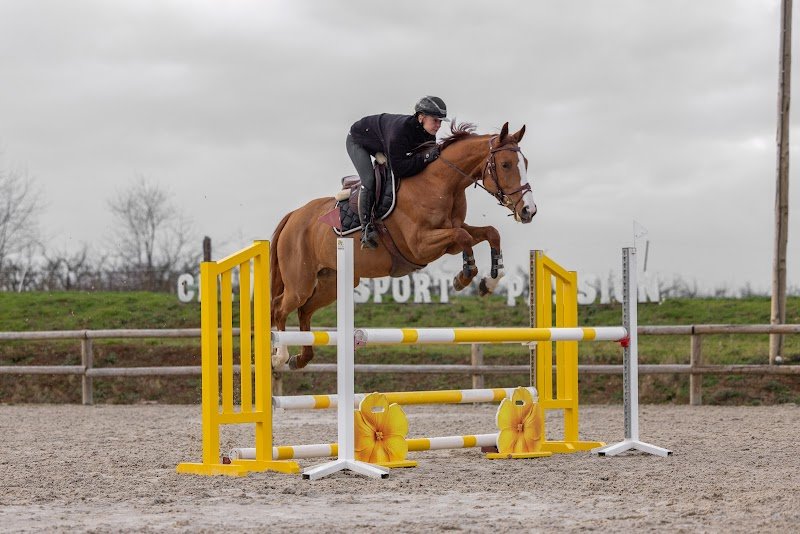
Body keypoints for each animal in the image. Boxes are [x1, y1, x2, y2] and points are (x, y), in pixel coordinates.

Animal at [270, 121, 536, 370]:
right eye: (506, 165)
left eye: (525, 162)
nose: (529, 211)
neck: (441, 183)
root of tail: (293, 215)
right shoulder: (420, 245)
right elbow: (464, 237)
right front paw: (463, 277)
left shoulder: (449, 235)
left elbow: (490, 233)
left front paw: (489, 282)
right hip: (301, 282)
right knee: (279, 307)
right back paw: (280, 356)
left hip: (332, 281)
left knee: (304, 311)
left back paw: (301, 359)